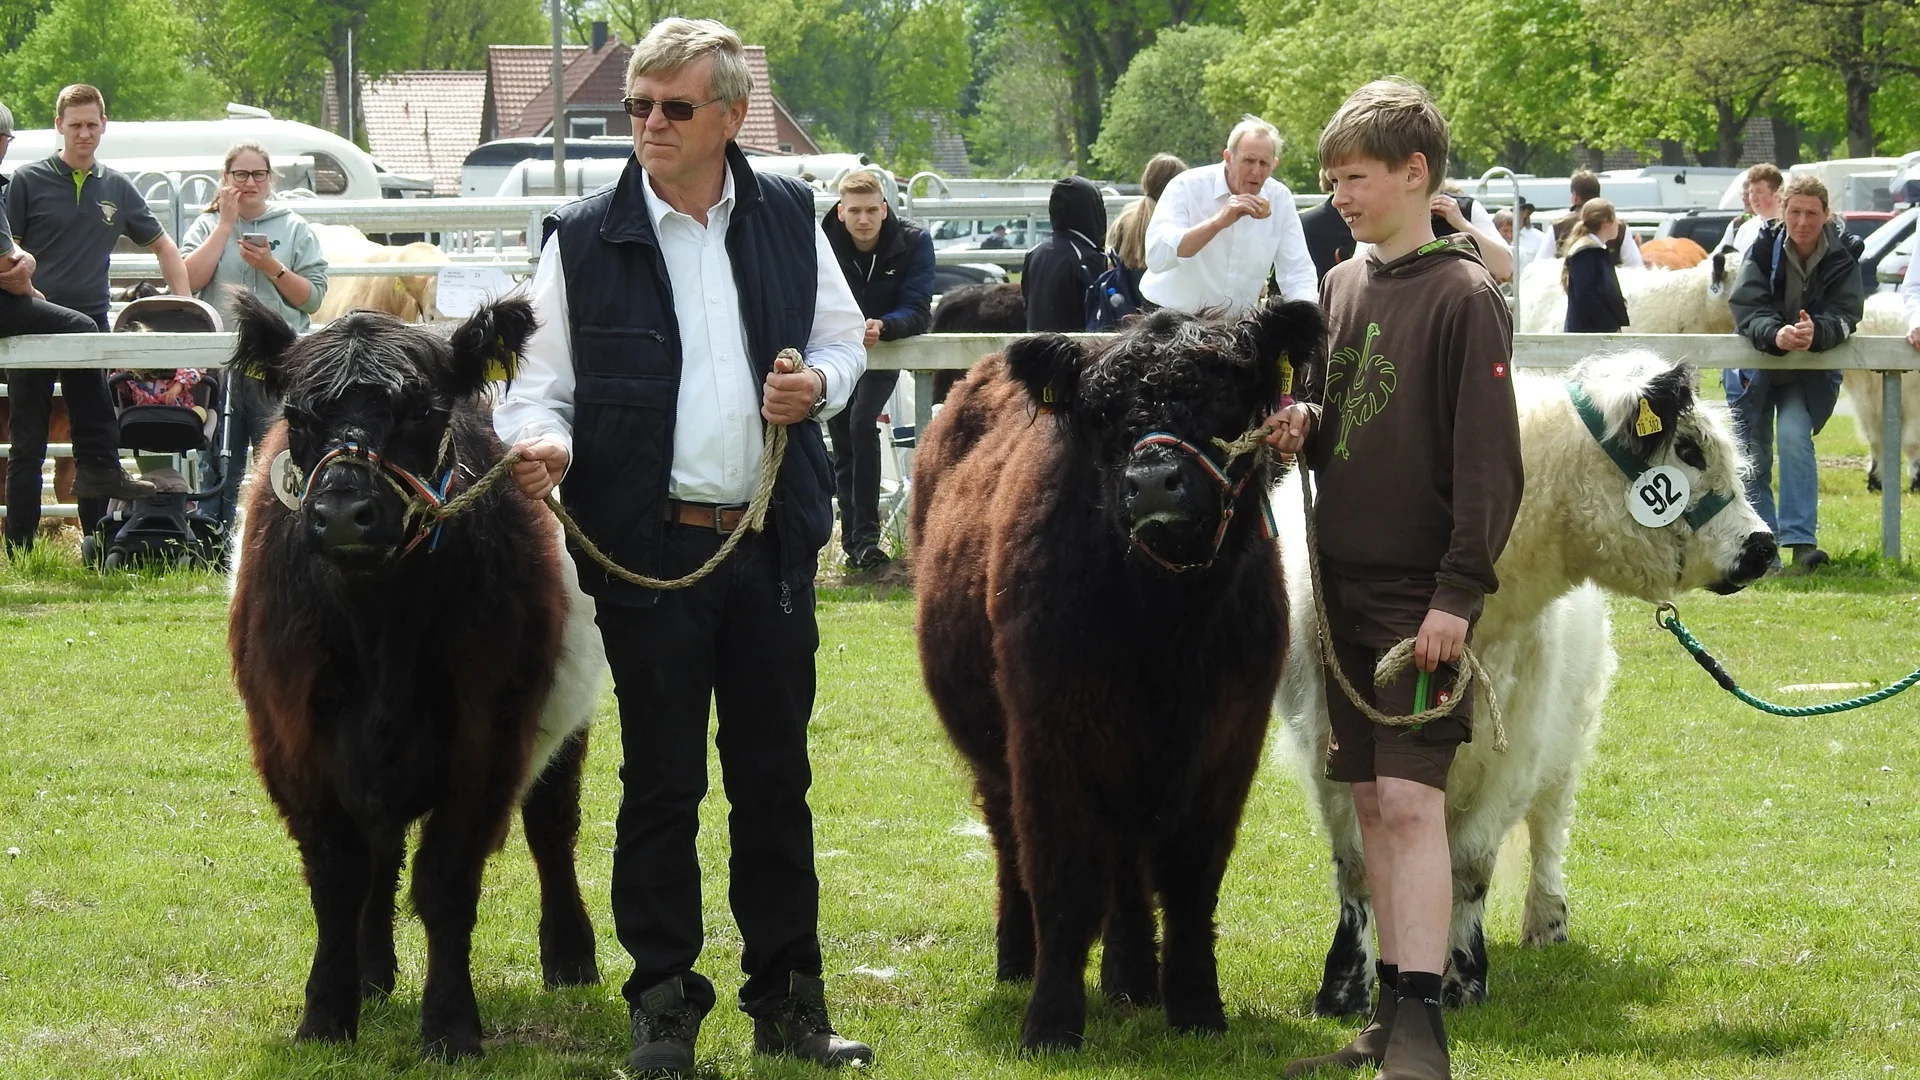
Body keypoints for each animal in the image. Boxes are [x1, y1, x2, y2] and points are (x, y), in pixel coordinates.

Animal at [228, 290, 610, 1053]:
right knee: (380, 855)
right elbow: (338, 879)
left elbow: (446, 882)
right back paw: (372, 972)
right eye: (299, 416)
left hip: (567, 721)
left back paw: (571, 956)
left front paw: (452, 1025)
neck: (380, 629)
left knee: (552, 825)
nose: (344, 514)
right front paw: (327, 1012)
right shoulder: (291, 739)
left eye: (424, 411)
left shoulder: (486, 739)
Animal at [910, 297, 1320, 1045]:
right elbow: (1064, 876)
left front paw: (1196, 1007)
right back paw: (1018, 958)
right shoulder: (1050, 734)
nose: (1154, 480)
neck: (1163, 624)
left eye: (1220, 395)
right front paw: (1051, 1021)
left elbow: (1191, 880)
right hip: (998, 752)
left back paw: (1131, 979)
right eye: (1103, 411)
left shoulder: (1225, 743)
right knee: (1011, 843)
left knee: (1130, 865)